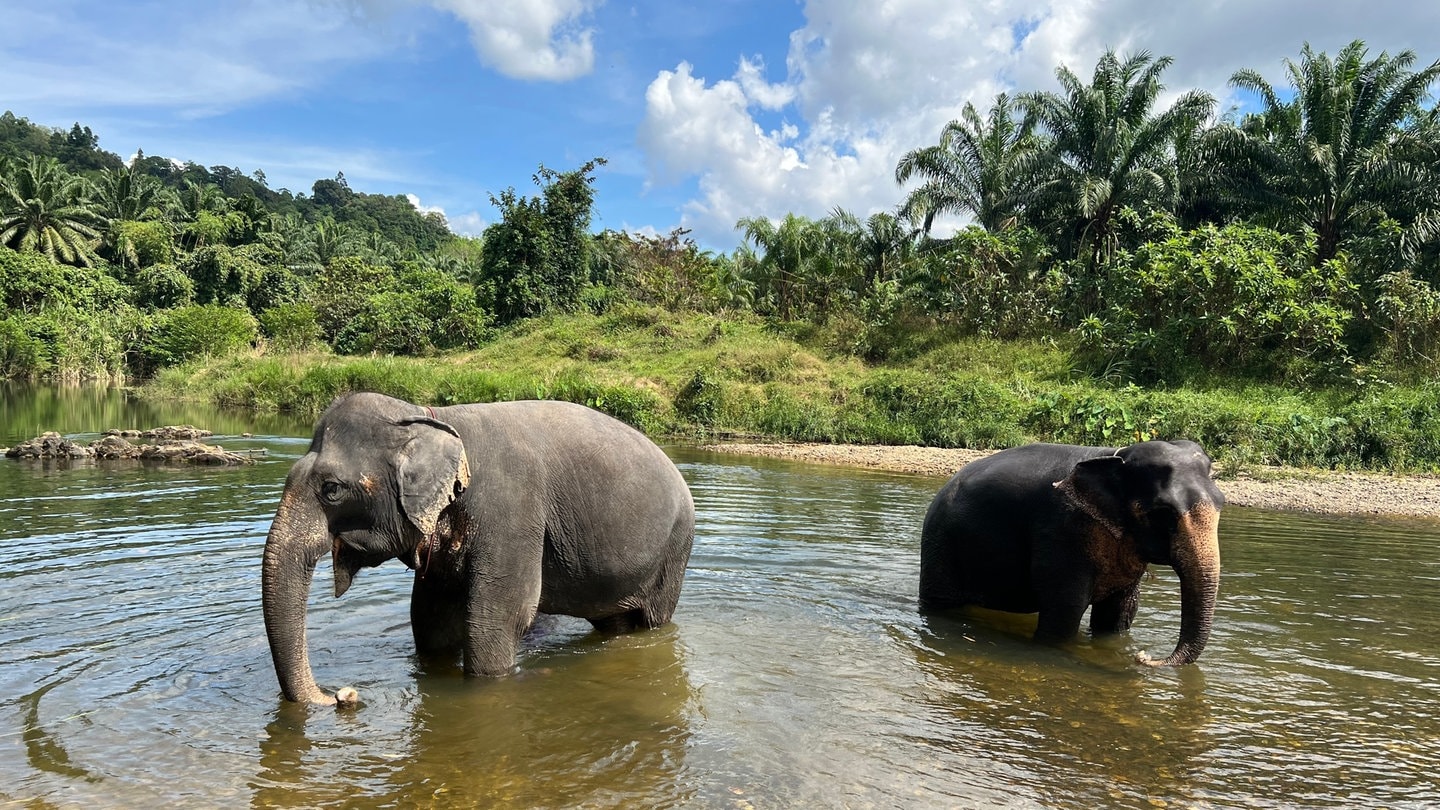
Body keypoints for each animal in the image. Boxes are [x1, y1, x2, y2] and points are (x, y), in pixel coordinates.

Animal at [262, 389, 694, 700]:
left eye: (332, 489)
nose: (342, 695)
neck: (432, 419)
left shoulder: (512, 516)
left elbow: (496, 620)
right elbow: (429, 618)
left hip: (674, 551)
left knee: (652, 621)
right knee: (614, 624)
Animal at [915, 441, 1221, 662]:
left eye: (1222, 502)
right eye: (1162, 513)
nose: (1143, 657)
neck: (1114, 456)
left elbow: (1120, 611)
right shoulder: (1061, 531)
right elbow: (1066, 607)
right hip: (940, 544)